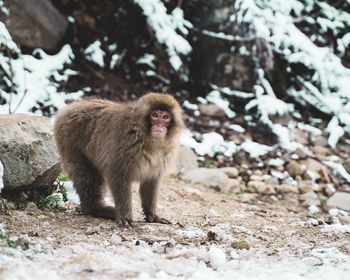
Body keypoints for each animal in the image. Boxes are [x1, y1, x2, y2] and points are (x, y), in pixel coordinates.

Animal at [54, 93, 183, 226]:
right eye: (155, 115)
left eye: (166, 117)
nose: (160, 125)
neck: (147, 137)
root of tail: (71, 106)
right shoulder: (125, 145)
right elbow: (119, 176)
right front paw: (125, 216)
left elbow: (151, 180)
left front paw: (152, 215)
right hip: (69, 140)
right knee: (87, 176)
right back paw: (95, 209)